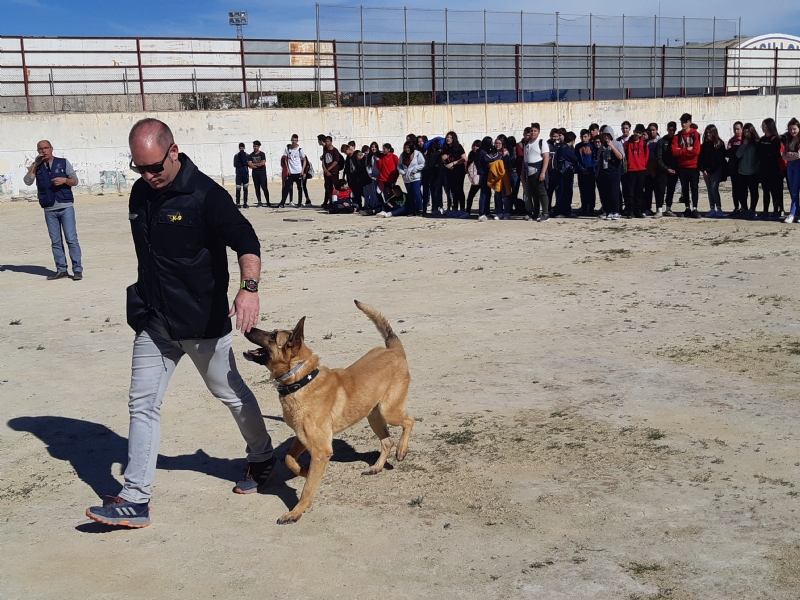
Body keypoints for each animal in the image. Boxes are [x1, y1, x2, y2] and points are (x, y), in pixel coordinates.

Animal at [242, 300, 416, 524]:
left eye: (273, 336)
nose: (248, 327)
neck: (301, 380)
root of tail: (393, 350)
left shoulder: (320, 450)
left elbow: (307, 489)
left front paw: (296, 512)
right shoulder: (302, 438)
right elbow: (289, 459)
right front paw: (304, 471)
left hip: (389, 411)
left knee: (410, 421)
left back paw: (402, 450)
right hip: (373, 416)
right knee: (387, 441)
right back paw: (376, 467)